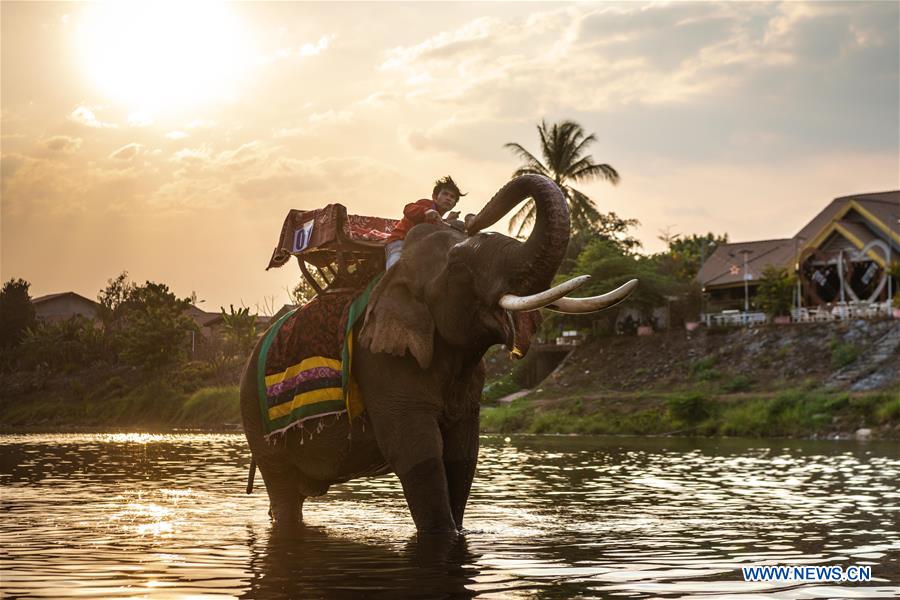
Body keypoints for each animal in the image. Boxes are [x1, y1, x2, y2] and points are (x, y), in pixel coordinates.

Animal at [239, 175, 632, 536]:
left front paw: (460, 531)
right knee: (282, 488)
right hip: (255, 417)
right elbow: (417, 452)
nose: (470, 216)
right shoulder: (380, 360)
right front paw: (444, 536)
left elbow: (462, 455)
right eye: (458, 266)